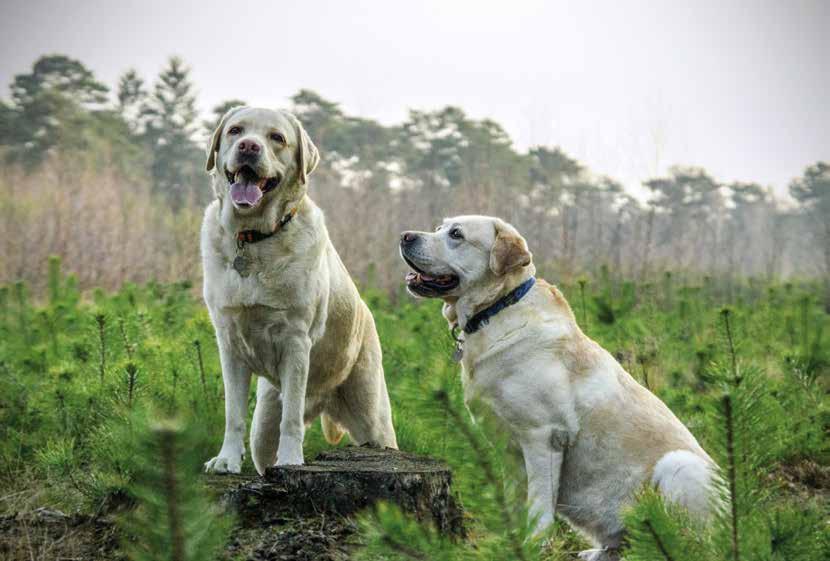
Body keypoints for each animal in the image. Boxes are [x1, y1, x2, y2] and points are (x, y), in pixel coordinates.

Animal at [202, 106, 396, 472]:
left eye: (277, 138)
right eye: (236, 131)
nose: (249, 147)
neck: (254, 238)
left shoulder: (295, 340)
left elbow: (290, 419)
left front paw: (291, 461)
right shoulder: (229, 343)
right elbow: (233, 414)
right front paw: (226, 460)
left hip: (374, 420)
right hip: (263, 424)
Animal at [400, 213, 720, 556]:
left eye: (456, 234)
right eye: (438, 228)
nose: (405, 236)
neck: (499, 308)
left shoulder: (544, 436)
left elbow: (539, 504)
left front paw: (534, 545)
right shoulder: (509, 449)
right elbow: (515, 500)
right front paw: (510, 541)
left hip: (678, 465)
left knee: (691, 544)